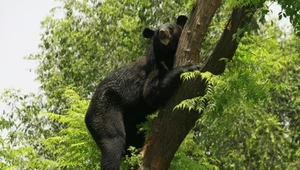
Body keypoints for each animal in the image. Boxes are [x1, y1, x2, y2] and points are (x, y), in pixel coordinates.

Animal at [85, 15, 197, 169]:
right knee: (113, 140)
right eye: (156, 31)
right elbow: (150, 93)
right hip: (104, 110)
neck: (166, 55)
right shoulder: (153, 68)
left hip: (131, 120)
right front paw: (190, 66)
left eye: (170, 28)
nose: (162, 32)